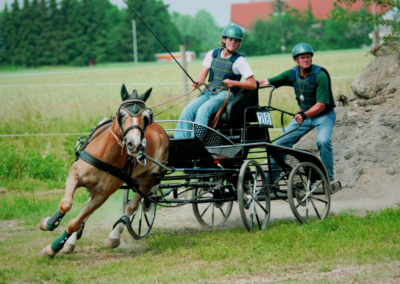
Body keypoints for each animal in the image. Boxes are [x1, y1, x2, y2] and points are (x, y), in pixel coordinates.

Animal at [38, 84, 169, 258]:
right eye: (121, 114)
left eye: (147, 117)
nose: (134, 145)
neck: (106, 156)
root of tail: (162, 131)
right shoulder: (75, 174)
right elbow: (66, 205)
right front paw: (49, 223)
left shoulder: (102, 195)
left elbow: (74, 223)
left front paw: (53, 248)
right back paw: (70, 241)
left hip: (149, 179)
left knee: (131, 207)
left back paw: (114, 236)